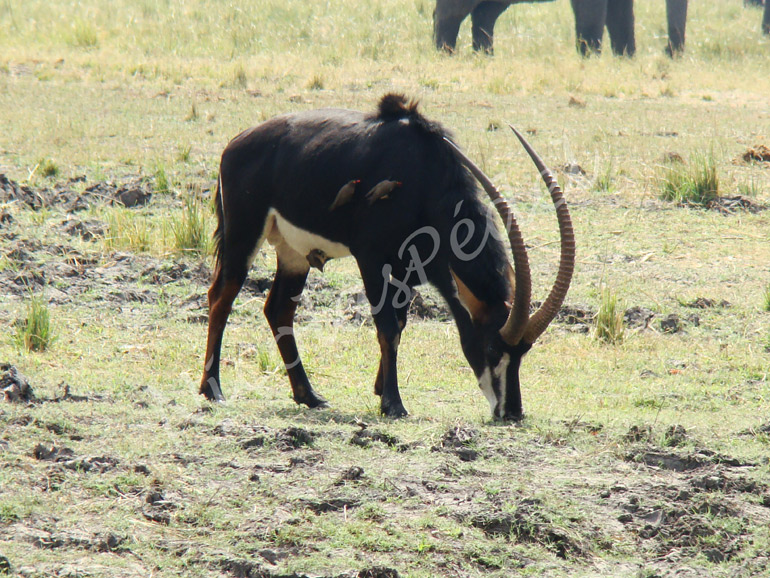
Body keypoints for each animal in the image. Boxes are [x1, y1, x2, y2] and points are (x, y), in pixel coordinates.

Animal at [200, 93, 575, 420]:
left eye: (524, 352)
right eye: (493, 348)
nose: (511, 413)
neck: (425, 177)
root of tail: (235, 145)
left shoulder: (407, 270)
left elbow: (399, 324)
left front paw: (382, 390)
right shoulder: (371, 258)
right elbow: (387, 326)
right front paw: (393, 404)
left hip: (294, 253)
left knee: (278, 309)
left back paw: (309, 396)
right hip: (244, 233)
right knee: (221, 296)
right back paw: (212, 390)